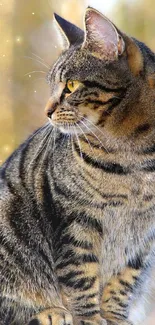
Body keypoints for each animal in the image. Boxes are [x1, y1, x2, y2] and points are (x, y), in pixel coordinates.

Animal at [0, 6, 155, 324]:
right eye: (51, 86)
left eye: (71, 85)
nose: (46, 111)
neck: (135, 155)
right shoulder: (75, 218)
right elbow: (80, 274)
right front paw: (90, 318)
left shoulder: (144, 234)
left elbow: (125, 278)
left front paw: (114, 316)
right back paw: (50, 312)